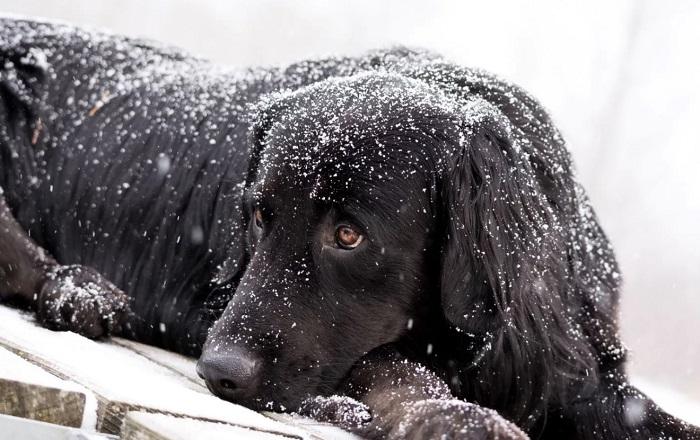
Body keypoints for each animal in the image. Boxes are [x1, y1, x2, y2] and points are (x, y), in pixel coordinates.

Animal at [0, 17, 696, 440]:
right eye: (259, 216)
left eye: (349, 235)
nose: (218, 370)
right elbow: (395, 368)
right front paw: (451, 413)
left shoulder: (571, 372)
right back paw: (79, 290)